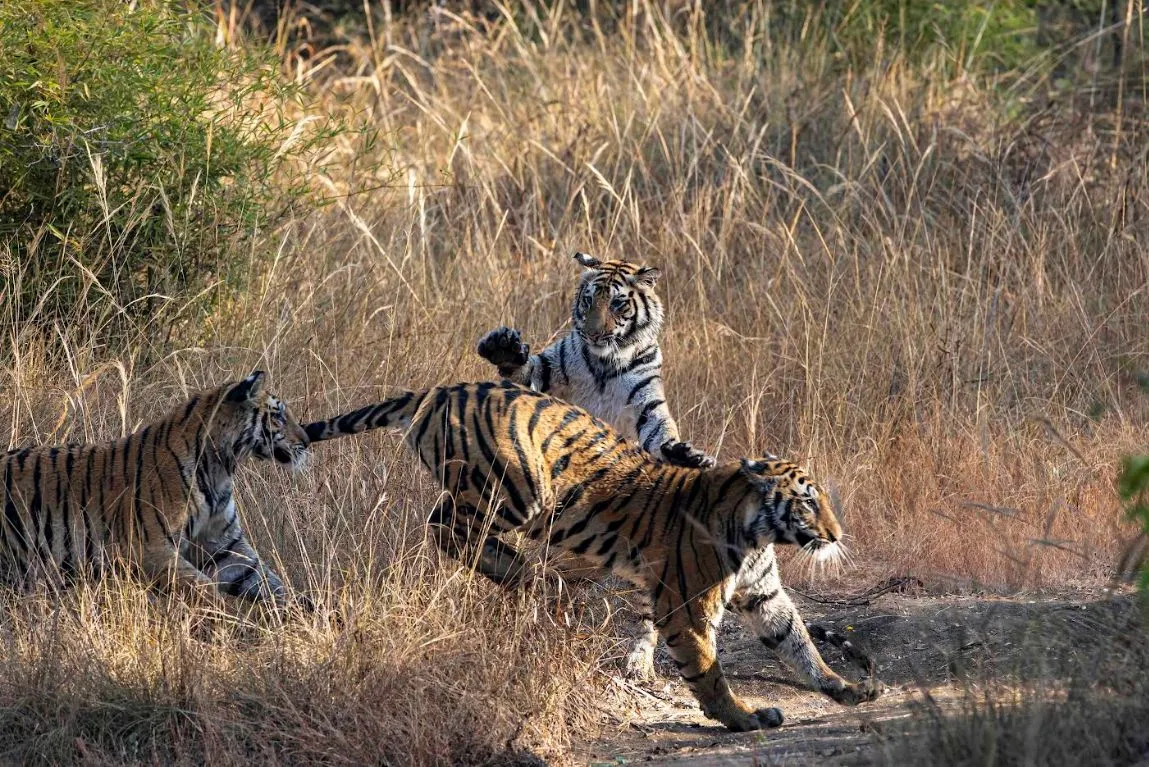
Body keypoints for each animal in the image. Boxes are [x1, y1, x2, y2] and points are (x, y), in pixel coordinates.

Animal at [0, 367, 310, 615]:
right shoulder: (150, 549)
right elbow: (206, 591)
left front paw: (307, 613)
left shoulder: (223, 545)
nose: (307, 441)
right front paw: (229, 624)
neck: (222, 467)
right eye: (279, 416)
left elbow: (266, 579)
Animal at [305, 381, 877, 734]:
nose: (836, 534)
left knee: (451, 528)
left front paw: (844, 686)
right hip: (515, 487)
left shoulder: (765, 594)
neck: (758, 531)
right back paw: (525, 572)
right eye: (808, 501)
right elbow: (708, 669)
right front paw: (742, 718)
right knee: (443, 527)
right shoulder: (688, 606)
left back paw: (528, 577)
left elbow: (799, 643)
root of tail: (445, 388)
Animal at [473, 249, 707, 470]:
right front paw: (503, 348)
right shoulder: (547, 371)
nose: (593, 334)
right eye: (588, 300)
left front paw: (683, 454)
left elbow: (660, 428)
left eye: (617, 303)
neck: (605, 362)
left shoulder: (645, 400)